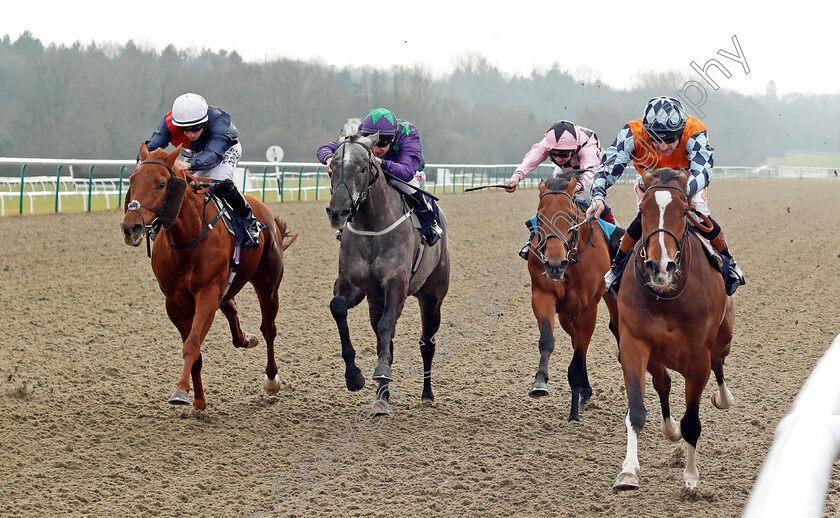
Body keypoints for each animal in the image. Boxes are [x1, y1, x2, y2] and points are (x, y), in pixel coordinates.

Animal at [120, 144, 296, 412]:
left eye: (161, 184)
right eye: (132, 180)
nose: (131, 228)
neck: (188, 239)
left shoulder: (208, 292)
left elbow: (192, 343)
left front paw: (180, 391)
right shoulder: (175, 303)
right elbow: (195, 350)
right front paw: (198, 400)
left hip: (268, 283)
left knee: (268, 328)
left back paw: (271, 379)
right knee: (232, 307)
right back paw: (245, 339)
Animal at [528, 173, 620, 424]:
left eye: (570, 217)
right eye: (540, 217)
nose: (554, 264)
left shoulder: (588, 309)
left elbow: (578, 361)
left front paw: (573, 415)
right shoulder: (543, 296)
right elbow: (547, 341)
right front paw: (539, 382)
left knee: (613, 329)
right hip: (567, 315)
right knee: (576, 340)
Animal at [612, 170, 732, 492]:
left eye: (684, 212)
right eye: (643, 212)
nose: (660, 267)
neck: (668, 296)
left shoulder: (698, 359)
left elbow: (692, 422)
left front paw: (690, 477)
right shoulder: (634, 343)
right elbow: (636, 409)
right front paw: (628, 471)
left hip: (723, 337)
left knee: (719, 363)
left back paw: (724, 398)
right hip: (656, 355)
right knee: (663, 382)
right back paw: (669, 428)